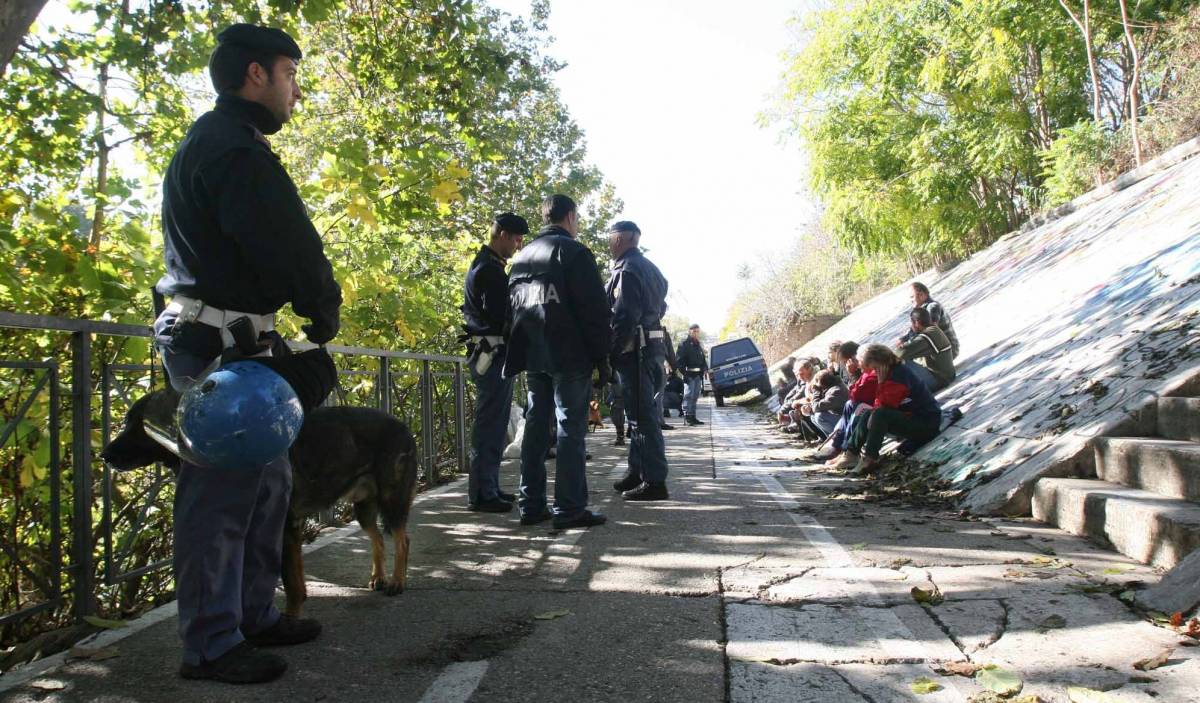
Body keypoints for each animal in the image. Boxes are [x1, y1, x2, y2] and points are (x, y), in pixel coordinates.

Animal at [103, 391, 422, 614]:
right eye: (128, 421)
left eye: (140, 426)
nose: (105, 455)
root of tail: (404, 427)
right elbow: (287, 579)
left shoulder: (283, 526)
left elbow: (292, 585)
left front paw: (291, 621)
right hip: (364, 507)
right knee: (378, 538)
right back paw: (379, 578)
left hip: (391, 500)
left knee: (403, 539)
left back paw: (397, 582)